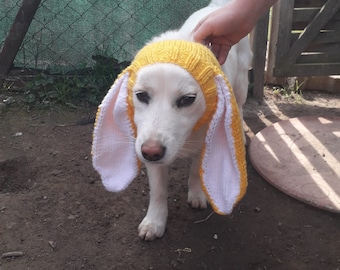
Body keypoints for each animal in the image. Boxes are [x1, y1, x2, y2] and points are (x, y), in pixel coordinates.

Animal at [91, 0, 251, 240]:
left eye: (188, 99)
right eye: (141, 95)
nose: (151, 152)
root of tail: (219, 6)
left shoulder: (206, 140)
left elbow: (196, 171)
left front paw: (197, 194)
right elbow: (158, 191)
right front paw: (154, 222)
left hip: (241, 85)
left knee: (240, 107)